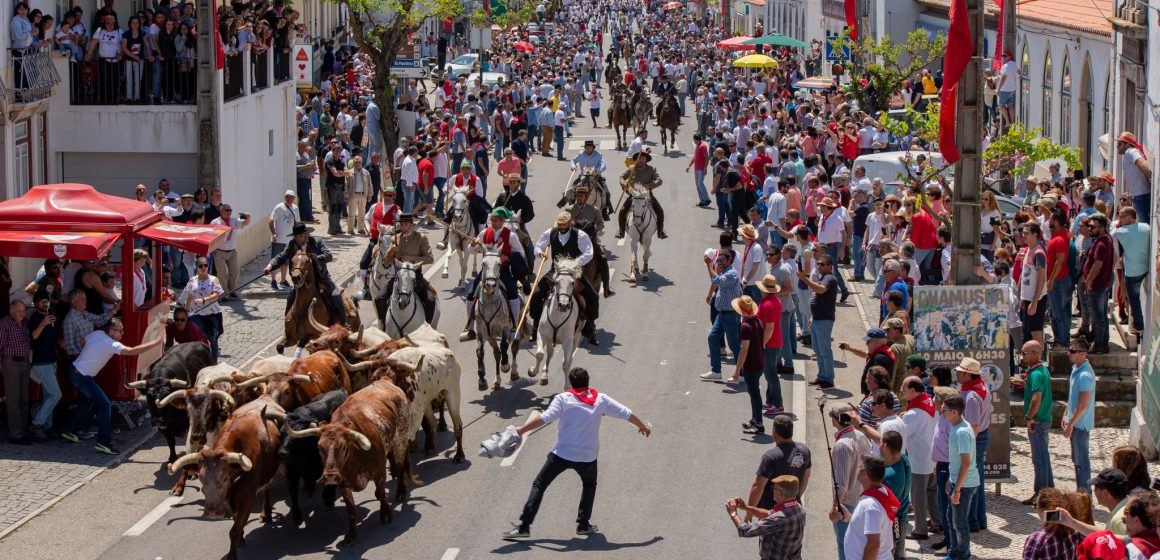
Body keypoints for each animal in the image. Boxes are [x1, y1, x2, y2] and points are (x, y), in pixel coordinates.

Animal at [168, 396, 285, 558]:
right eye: (201, 479)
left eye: (224, 478)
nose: (212, 512)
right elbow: (237, 523)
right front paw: (241, 537)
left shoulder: (247, 498)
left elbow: (234, 531)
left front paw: (232, 553)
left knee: (267, 487)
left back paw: (266, 513)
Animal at [287, 380, 415, 544]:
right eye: (319, 447)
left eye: (343, 447)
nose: (330, 476)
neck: (355, 458)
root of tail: (385, 380)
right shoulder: (343, 485)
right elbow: (351, 510)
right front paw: (352, 534)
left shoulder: (379, 472)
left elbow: (381, 494)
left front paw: (386, 513)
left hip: (401, 437)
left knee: (400, 465)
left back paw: (401, 491)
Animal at [473, 245, 524, 389]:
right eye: (483, 263)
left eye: (499, 264)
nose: (490, 285)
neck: (490, 302)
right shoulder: (482, 332)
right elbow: (480, 352)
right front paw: (481, 380)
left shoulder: (505, 328)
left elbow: (505, 345)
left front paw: (505, 365)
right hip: (491, 337)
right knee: (496, 354)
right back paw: (497, 381)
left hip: (518, 328)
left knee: (514, 348)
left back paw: (513, 372)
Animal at [528, 259, 584, 387]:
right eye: (556, 282)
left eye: (572, 282)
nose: (563, 305)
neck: (558, 316)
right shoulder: (542, 335)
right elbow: (540, 354)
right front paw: (532, 371)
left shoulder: (568, 341)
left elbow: (566, 364)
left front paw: (568, 385)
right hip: (550, 339)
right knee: (550, 353)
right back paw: (544, 375)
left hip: (576, 337)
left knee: (568, 358)